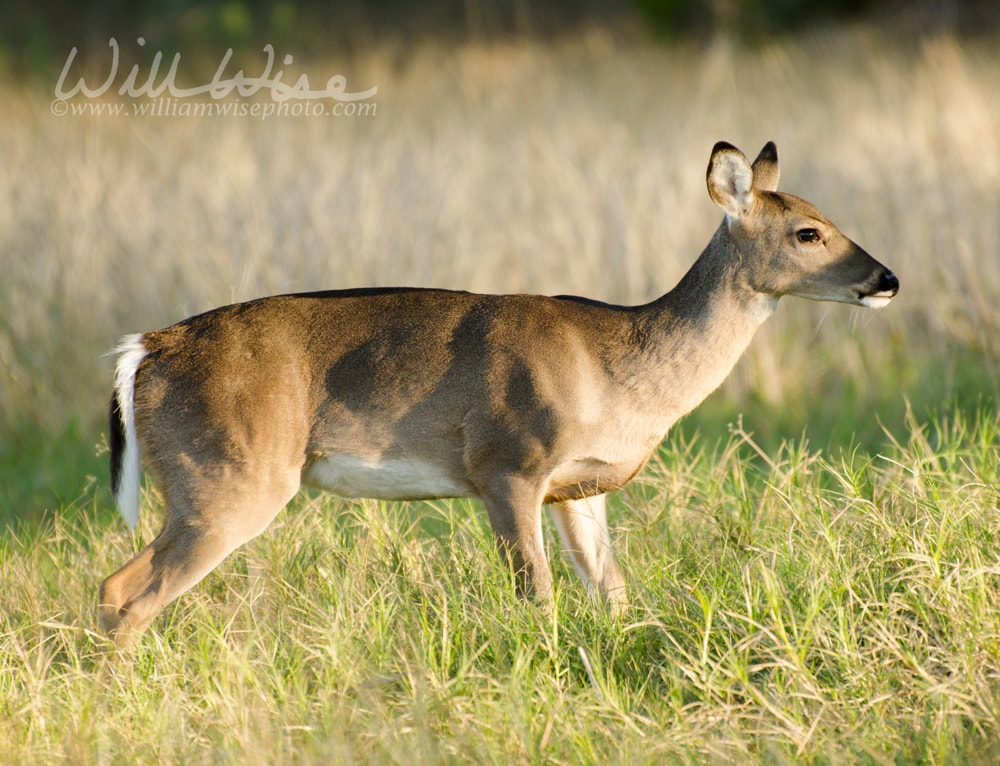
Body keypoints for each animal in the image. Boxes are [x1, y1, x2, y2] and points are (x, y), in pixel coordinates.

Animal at [99, 141, 900, 644]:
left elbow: (612, 592)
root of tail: (147, 349)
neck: (619, 369)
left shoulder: (579, 488)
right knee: (128, 594)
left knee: (116, 590)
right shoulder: (507, 462)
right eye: (808, 231)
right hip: (230, 475)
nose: (886, 278)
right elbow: (537, 597)